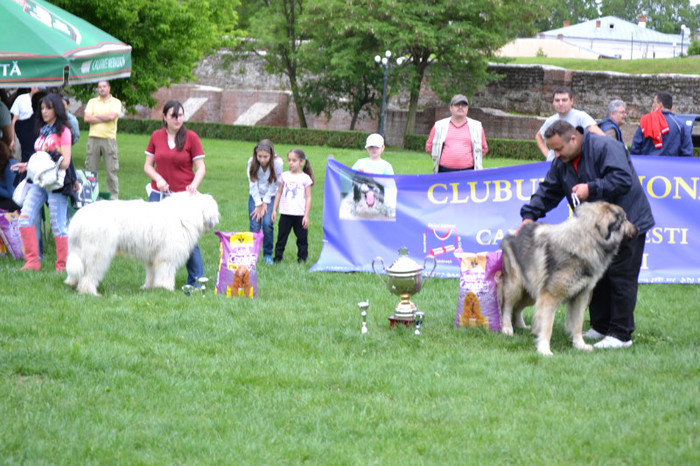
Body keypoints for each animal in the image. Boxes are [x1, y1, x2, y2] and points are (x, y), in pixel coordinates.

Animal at [65, 192, 220, 294]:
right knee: (90, 274)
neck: (186, 215)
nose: (218, 220)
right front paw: (165, 288)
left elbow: (152, 273)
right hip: (98, 252)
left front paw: (149, 287)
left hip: (79, 251)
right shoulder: (167, 256)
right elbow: (166, 272)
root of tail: (77, 220)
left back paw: (72, 284)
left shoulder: (152, 257)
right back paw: (89, 291)